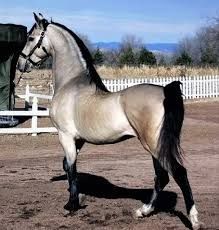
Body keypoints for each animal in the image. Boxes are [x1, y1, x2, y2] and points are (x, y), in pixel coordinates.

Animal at [17, 13, 200, 229]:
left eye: (30, 38)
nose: (20, 64)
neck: (71, 84)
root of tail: (165, 91)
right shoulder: (79, 140)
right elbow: (67, 166)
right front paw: (80, 197)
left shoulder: (65, 136)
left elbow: (71, 168)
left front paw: (71, 205)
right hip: (156, 146)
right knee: (161, 177)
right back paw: (144, 211)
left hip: (154, 144)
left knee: (178, 173)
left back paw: (193, 219)